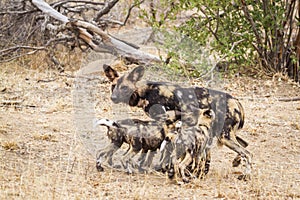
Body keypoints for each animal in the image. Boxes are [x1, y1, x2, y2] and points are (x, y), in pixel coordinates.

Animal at [103, 64, 253, 180]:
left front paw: (156, 167)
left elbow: (159, 151)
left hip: (224, 136)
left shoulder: (165, 121)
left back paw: (246, 175)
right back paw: (235, 162)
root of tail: (236, 101)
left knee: (248, 153)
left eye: (124, 88)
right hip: (224, 134)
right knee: (245, 145)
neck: (145, 92)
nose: (113, 97)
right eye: (113, 86)